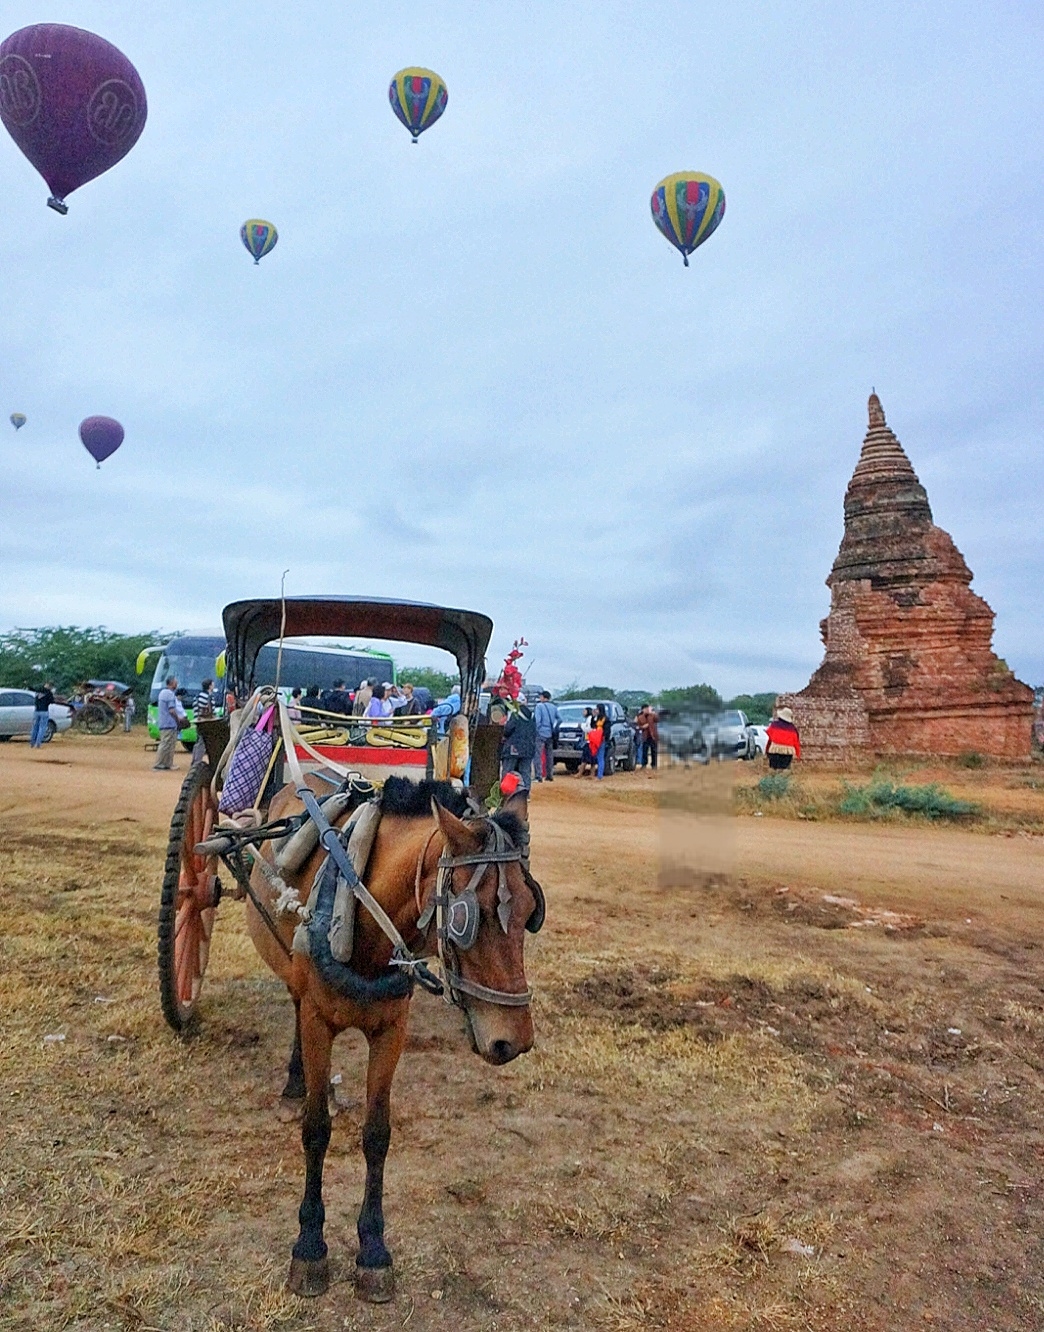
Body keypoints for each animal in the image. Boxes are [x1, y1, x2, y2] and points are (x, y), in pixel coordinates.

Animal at [243, 777, 537, 1305]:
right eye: (471, 916)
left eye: (530, 911)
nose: (514, 1041)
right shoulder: (318, 1021)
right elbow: (316, 1130)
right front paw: (309, 1245)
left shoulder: (391, 1030)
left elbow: (378, 1134)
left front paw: (374, 1250)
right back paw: (296, 1086)